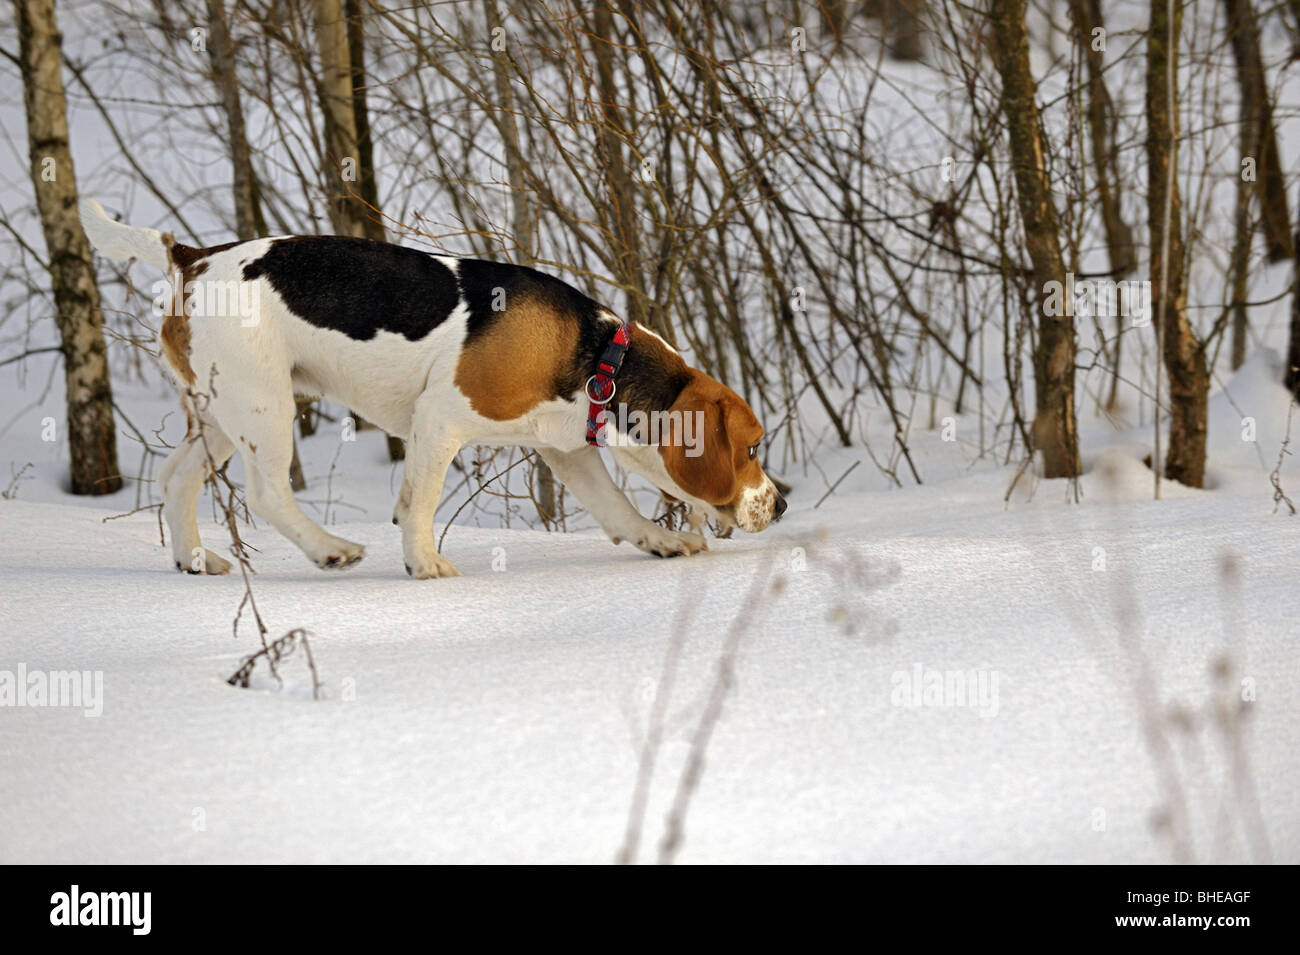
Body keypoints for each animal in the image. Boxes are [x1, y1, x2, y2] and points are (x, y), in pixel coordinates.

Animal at [83, 198, 790, 579]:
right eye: (752, 448)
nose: (781, 505)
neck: (598, 355)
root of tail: (193, 257)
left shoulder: (564, 448)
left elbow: (616, 509)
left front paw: (661, 540)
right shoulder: (440, 421)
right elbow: (419, 503)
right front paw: (425, 566)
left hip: (222, 415)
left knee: (177, 479)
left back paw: (195, 561)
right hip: (265, 408)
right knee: (266, 495)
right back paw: (330, 550)